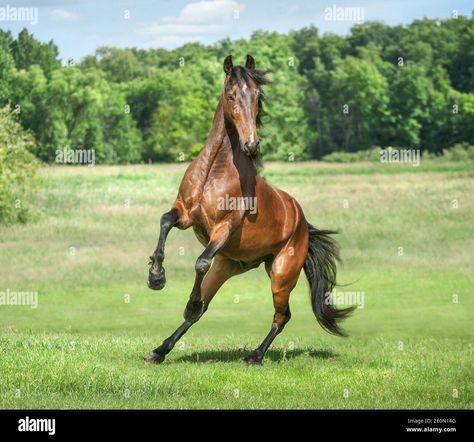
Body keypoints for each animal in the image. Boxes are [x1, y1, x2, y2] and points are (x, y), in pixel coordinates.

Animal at [146, 54, 354, 366]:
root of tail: (302, 223)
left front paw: (182, 295)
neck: (214, 171)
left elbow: (200, 262)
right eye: (231, 95)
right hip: (229, 266)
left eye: (257, 96)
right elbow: (164, 222)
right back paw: (159, 350)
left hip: (280, 275)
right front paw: (156, 276)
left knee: (282, 315)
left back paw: (254, 356)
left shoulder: (224, 228)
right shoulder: (185, 213)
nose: (251, 143)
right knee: (204, 310)